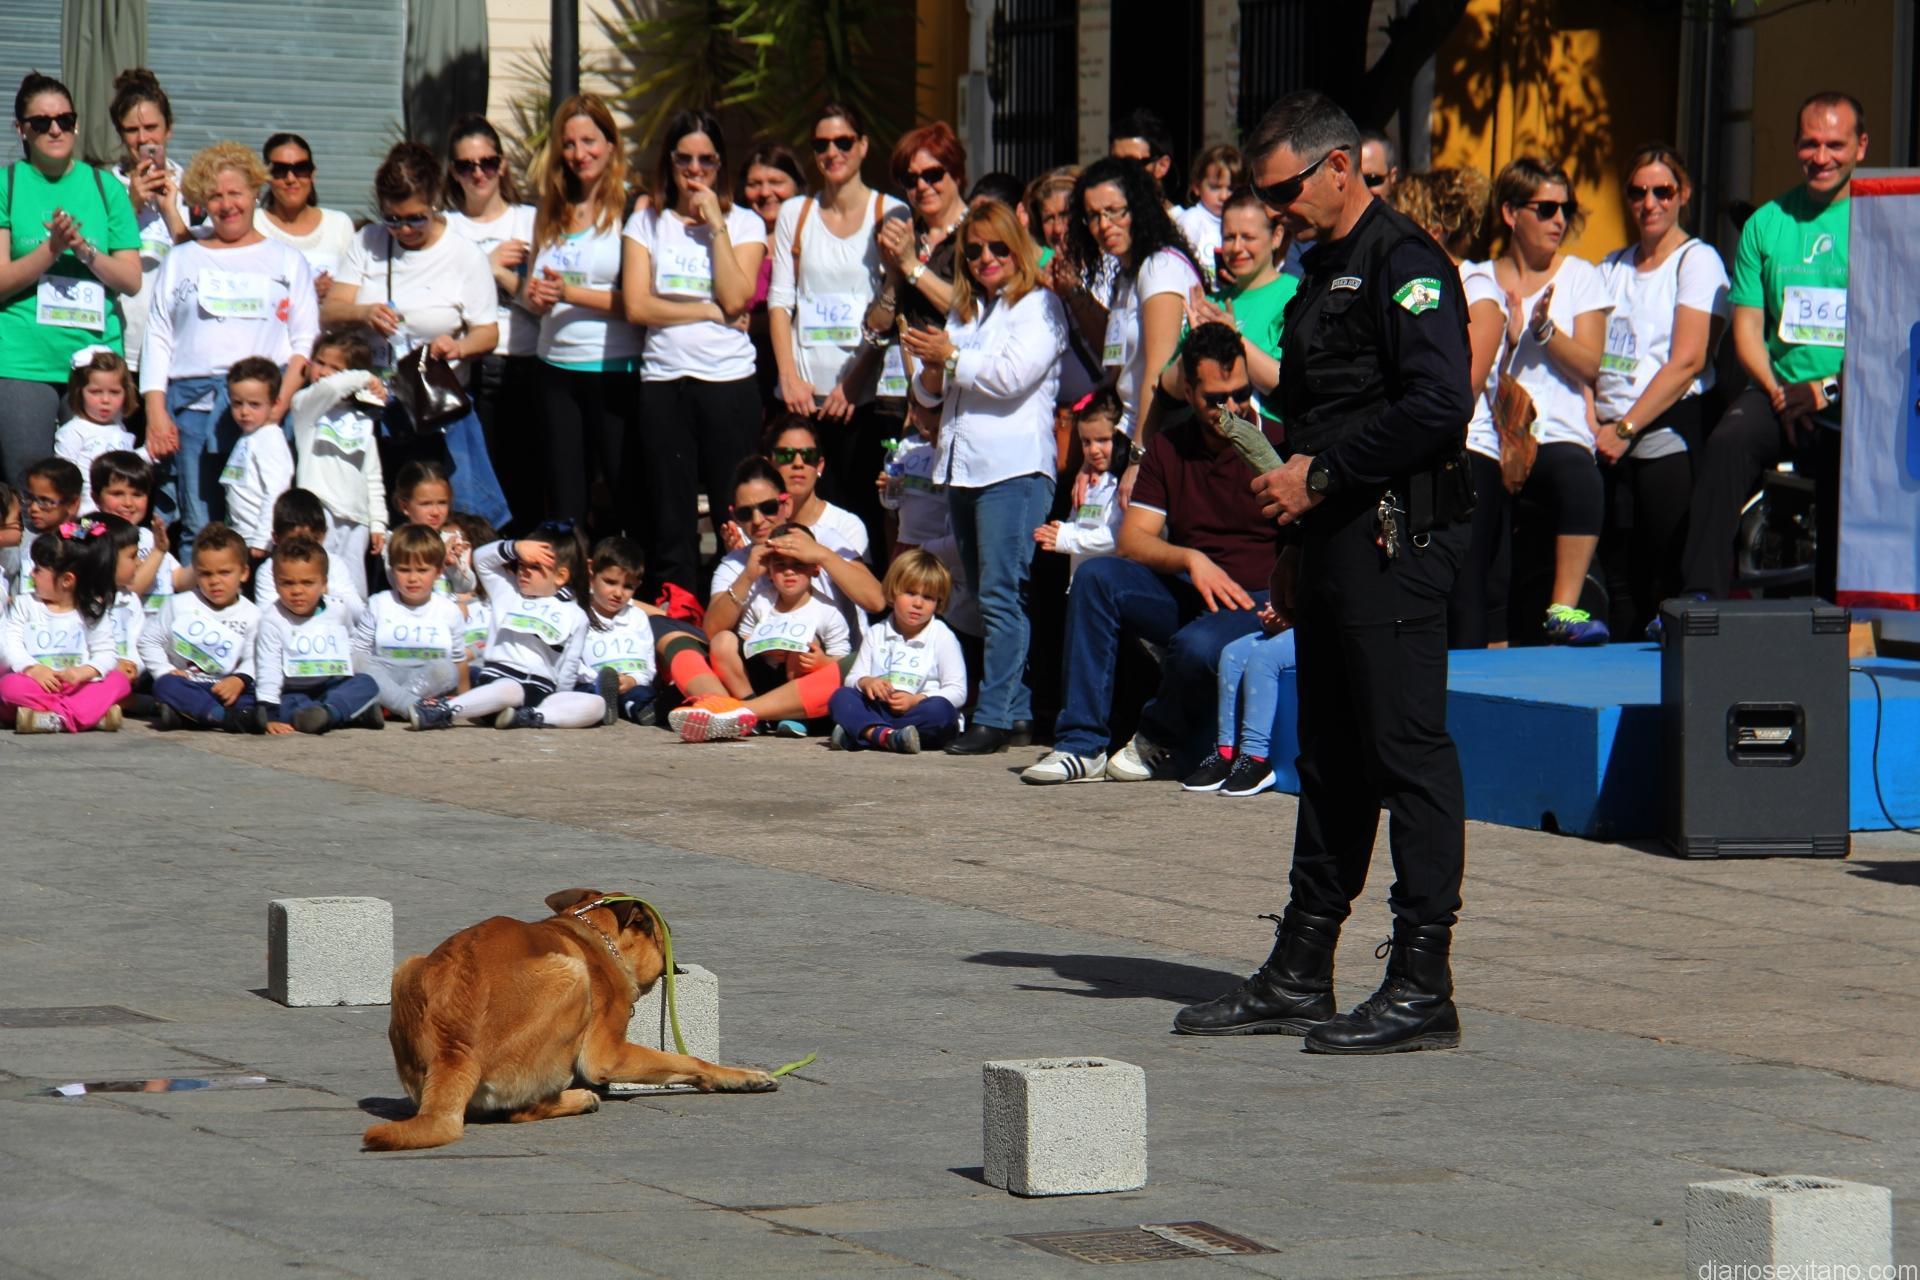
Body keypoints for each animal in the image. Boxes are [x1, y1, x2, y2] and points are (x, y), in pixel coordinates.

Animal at [362, 888, 777, 1151]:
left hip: (407, 968)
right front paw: (740, 1077)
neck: (594, 936)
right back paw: (578, 1099)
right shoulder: (607, 1053)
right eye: (665, 933)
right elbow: (688, 1060)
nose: (678, 965)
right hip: (574, 978)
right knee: (520, 1111)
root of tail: (454, 1050)